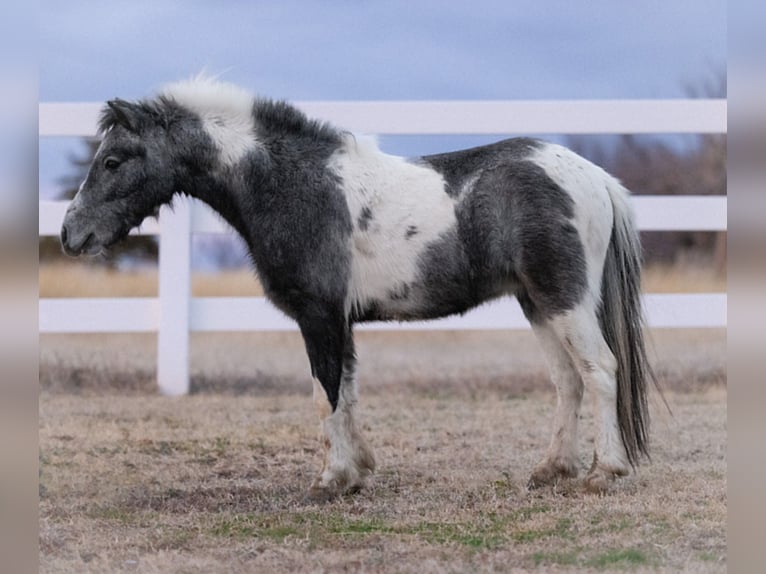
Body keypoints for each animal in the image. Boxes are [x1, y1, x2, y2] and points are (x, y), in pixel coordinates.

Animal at [61, 76, 656, 501]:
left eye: (112, 160)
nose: (70, 233)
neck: (294, 185)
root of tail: (594, 177)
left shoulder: (319, 317)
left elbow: (325, 392)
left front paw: (332, 480)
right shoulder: (339, 321)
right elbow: (345, 391)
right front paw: (359, 470)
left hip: (565, 301)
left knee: (599, 371)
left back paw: (604, 472)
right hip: (538, 303)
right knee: (567, 381)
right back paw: (552, 470)